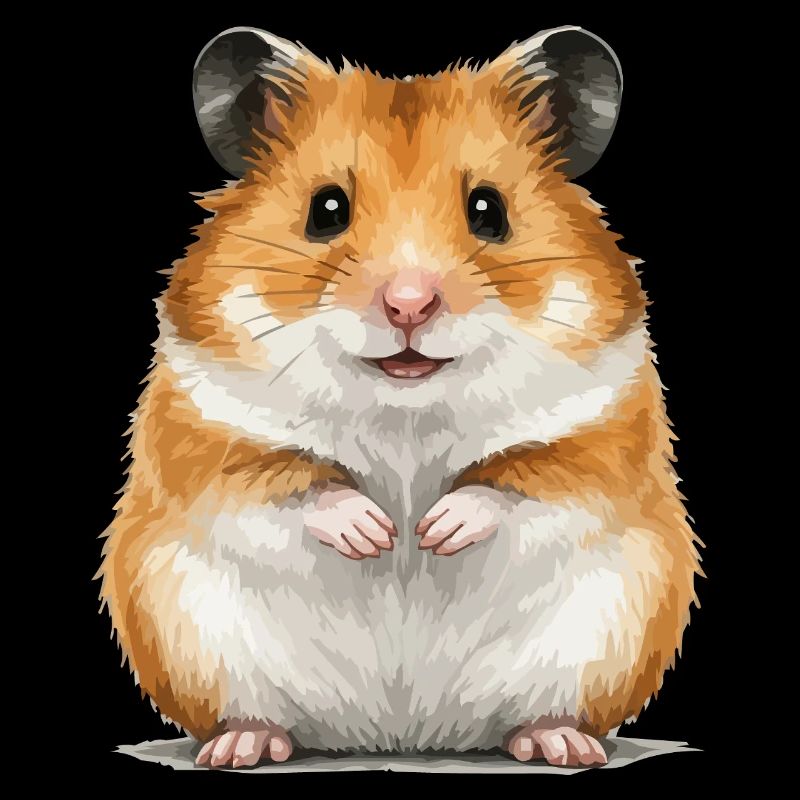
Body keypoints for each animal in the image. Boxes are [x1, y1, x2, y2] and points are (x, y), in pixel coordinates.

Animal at [98, 25, 701, 769]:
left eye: (489, 210)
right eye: (326, 209)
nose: (408, 305)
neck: (405, 408)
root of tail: (402, 735)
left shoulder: (601, 431)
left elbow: (524, 479)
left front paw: (432, 531)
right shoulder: (206, 427)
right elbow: (285, 480)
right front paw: (378, 534)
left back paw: (561, 744)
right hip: (192, 638)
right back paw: (240, 747)